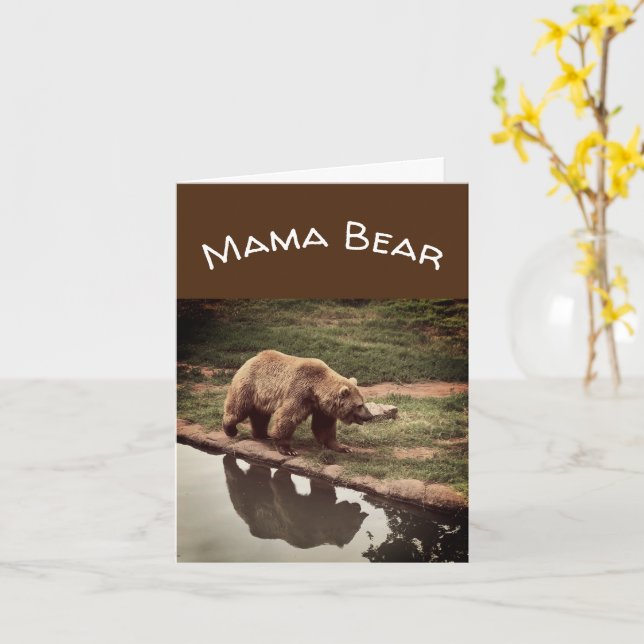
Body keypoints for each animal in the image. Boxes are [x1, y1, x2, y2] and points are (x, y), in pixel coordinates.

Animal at [222, 350, 373, 456]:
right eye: (359, 405)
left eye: (364, 402)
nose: (370, 416)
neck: (316, 390)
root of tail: (252, 358)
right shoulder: (300, 393)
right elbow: (288, 417)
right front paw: (288, 449)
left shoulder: (321, 407)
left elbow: (324, 426)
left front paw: (343, 447)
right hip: (249, 385)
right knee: (238, 409)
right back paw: (230, 429)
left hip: (261, 395)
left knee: (260, 415)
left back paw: (263, 435)